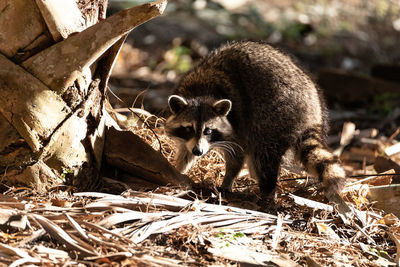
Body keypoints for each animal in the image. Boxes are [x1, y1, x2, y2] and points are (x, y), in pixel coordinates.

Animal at [164, 41, 346, 197]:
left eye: (208, 131)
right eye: (189, 128)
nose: (198, 151)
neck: (200, 93)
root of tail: (313, 108)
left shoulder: (238, 123)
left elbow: (236, 156)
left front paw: (228, 180)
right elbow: (186, 151)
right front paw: (179, 169)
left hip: (276, 116)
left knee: (263, 154)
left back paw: (267, 191)